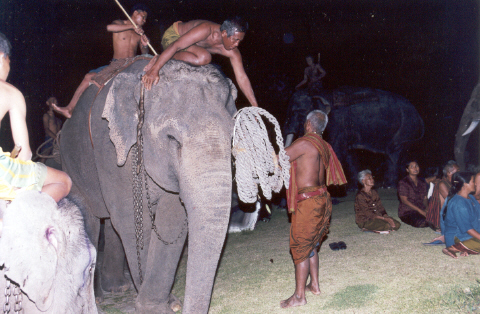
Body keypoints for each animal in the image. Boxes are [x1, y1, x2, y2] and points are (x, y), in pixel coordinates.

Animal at [60, 59, 238, 314]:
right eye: (172, 138)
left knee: (111, 226)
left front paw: (166, 303)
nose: (182, 306)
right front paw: (154, 307)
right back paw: (98, 299)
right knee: (89, 219)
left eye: (232, 137)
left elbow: (171, 220)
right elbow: (132, 220)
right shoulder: (111, 150)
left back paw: (118, 288)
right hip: (71, 164)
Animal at [284, 86, 424, 186]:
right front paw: (354, 187)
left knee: (393, 154)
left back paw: (389, 186)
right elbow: (349, 154)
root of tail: (419, 117)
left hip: (404, 129)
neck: (321, 92)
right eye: (289, 113)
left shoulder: (337, 125)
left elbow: (337, 151)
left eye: (300, 113)